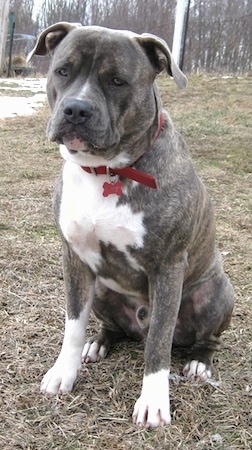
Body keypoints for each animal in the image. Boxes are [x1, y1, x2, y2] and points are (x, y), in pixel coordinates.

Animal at [28, 22, 234, 428]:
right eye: (63, 71)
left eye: (118, 81)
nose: (76, 109)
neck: (106, 169)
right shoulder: (74, 260)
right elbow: (73, 326)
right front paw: (64, 373)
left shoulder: (167, 268)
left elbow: (158, 343)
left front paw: (153, 401)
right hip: (103, 291)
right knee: (112, 327)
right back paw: (98, 343)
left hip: (217, 293)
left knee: (202, 338)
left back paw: (199, 363)